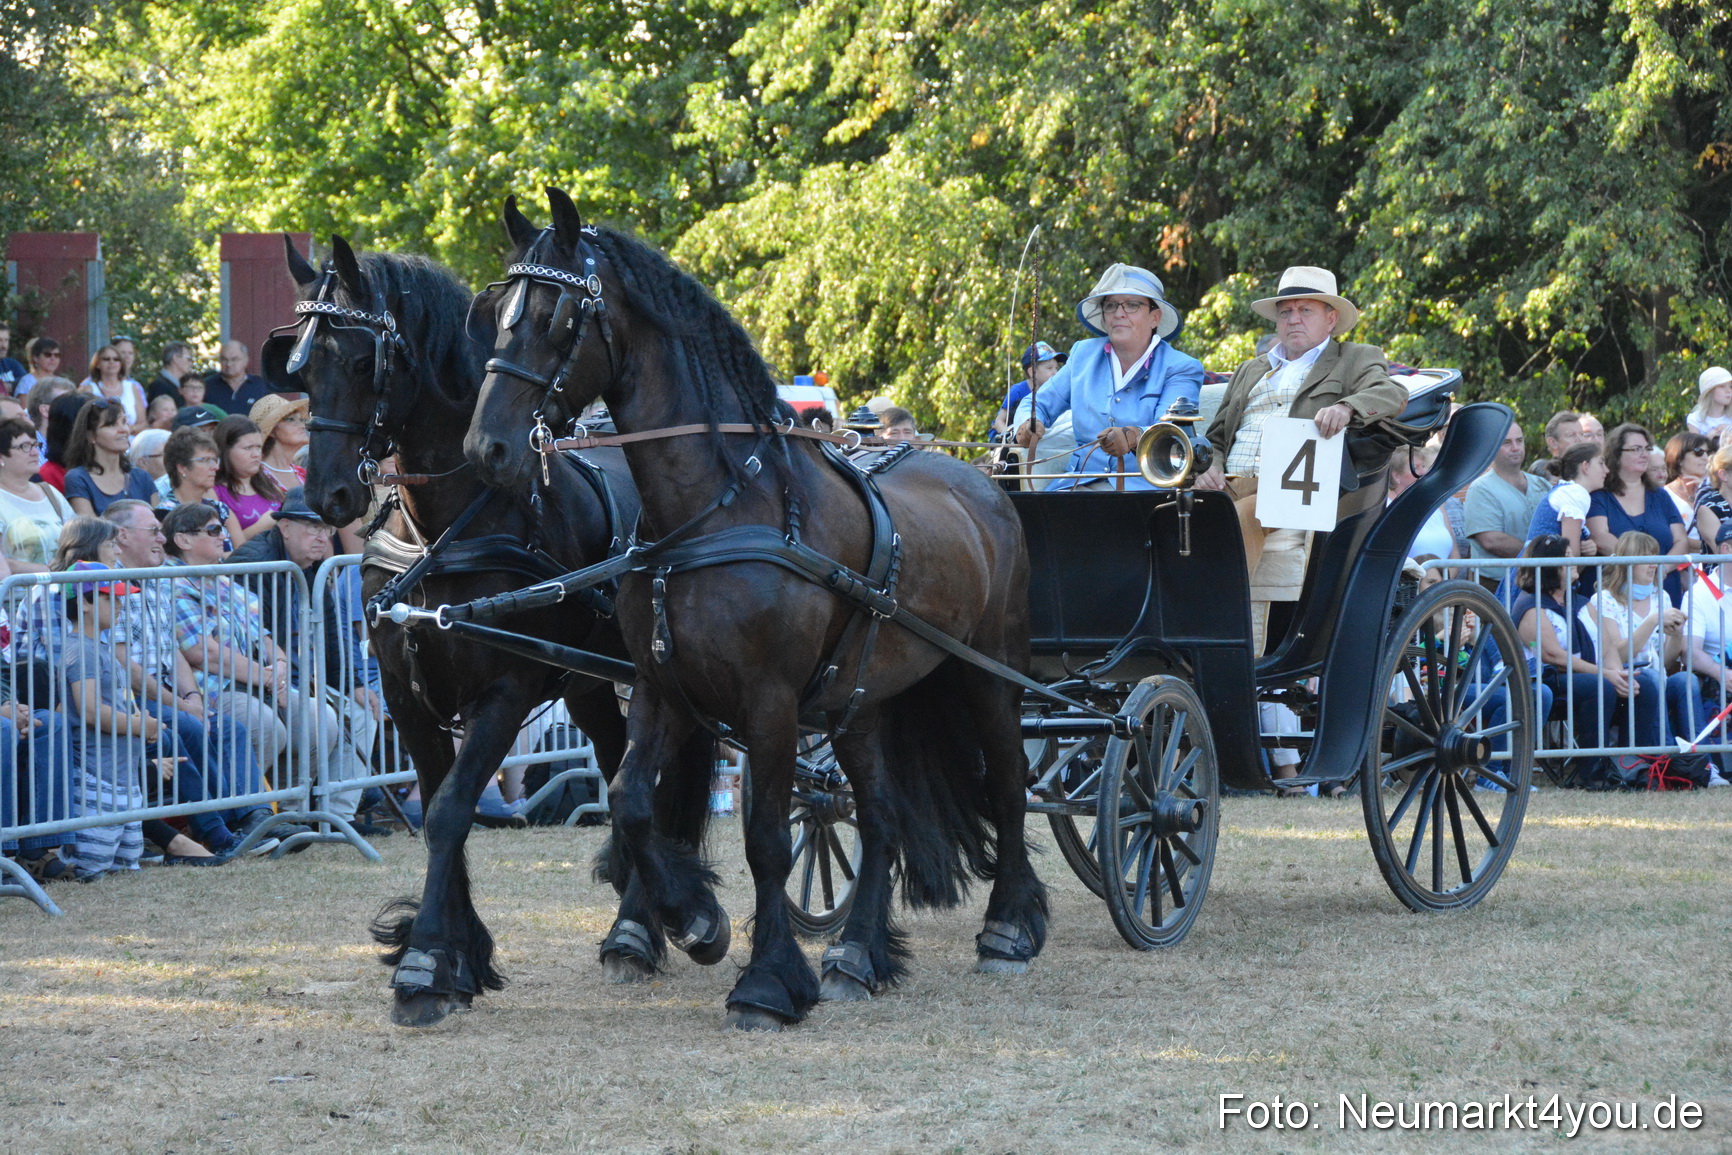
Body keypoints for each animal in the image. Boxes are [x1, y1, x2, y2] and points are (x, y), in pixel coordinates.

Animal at [269, 234, 714, 1028]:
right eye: (303, 367)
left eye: (361, 361)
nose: (328, 494)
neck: (447, 528)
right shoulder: (406, 694)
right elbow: (441, 810)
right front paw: (458, 954)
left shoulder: (504, 691)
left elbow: (449, 811)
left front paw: (425, 964)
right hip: (590, 684)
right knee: (616, 768)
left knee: (644, 781)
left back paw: (636, 929)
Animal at [462, 189, 1047, 1030]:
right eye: (496, 309)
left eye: (557, 315)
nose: (488, 447)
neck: (719, 510)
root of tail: (983, 480)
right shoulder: (660, 688)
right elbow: (631, 801)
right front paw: (693, 920)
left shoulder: (769, 703)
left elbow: (767, 839)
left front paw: (767, 981)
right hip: (862, 699)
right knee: (880, 815)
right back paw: (856, 955)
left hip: (989, 675)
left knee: (1007, 784)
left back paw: (1008, 928)